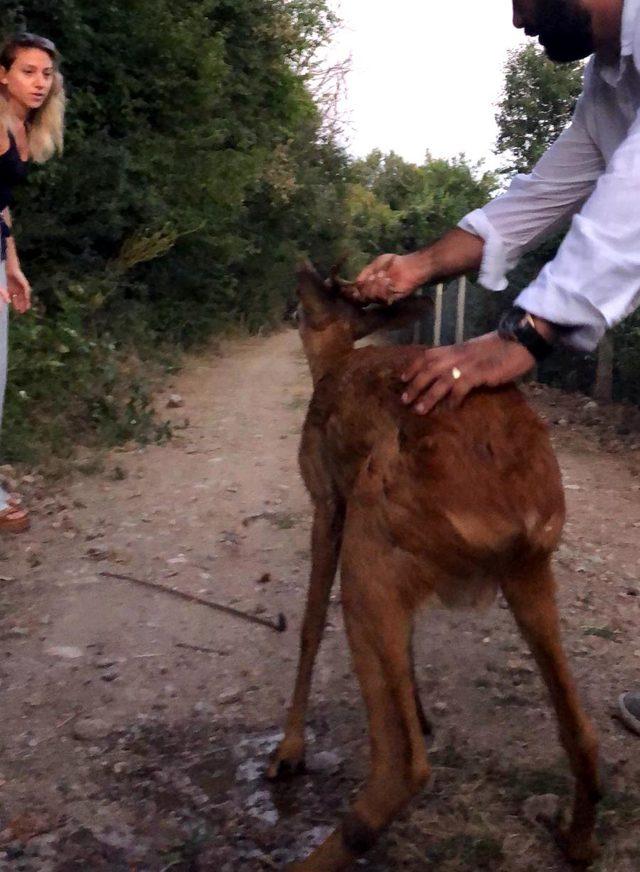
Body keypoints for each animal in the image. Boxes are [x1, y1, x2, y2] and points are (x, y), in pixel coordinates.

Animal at [268, 266, 604, 872]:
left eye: (332, 289)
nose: (302, 270)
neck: (331, 366)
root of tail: (520, 512)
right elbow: (405, 644)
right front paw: (422, 712)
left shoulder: (327, 498)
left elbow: (308, 625)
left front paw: (288, 751)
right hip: (530, 572)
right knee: (583, 734)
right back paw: (576, 841)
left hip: (371, 537)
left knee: (404, 766)